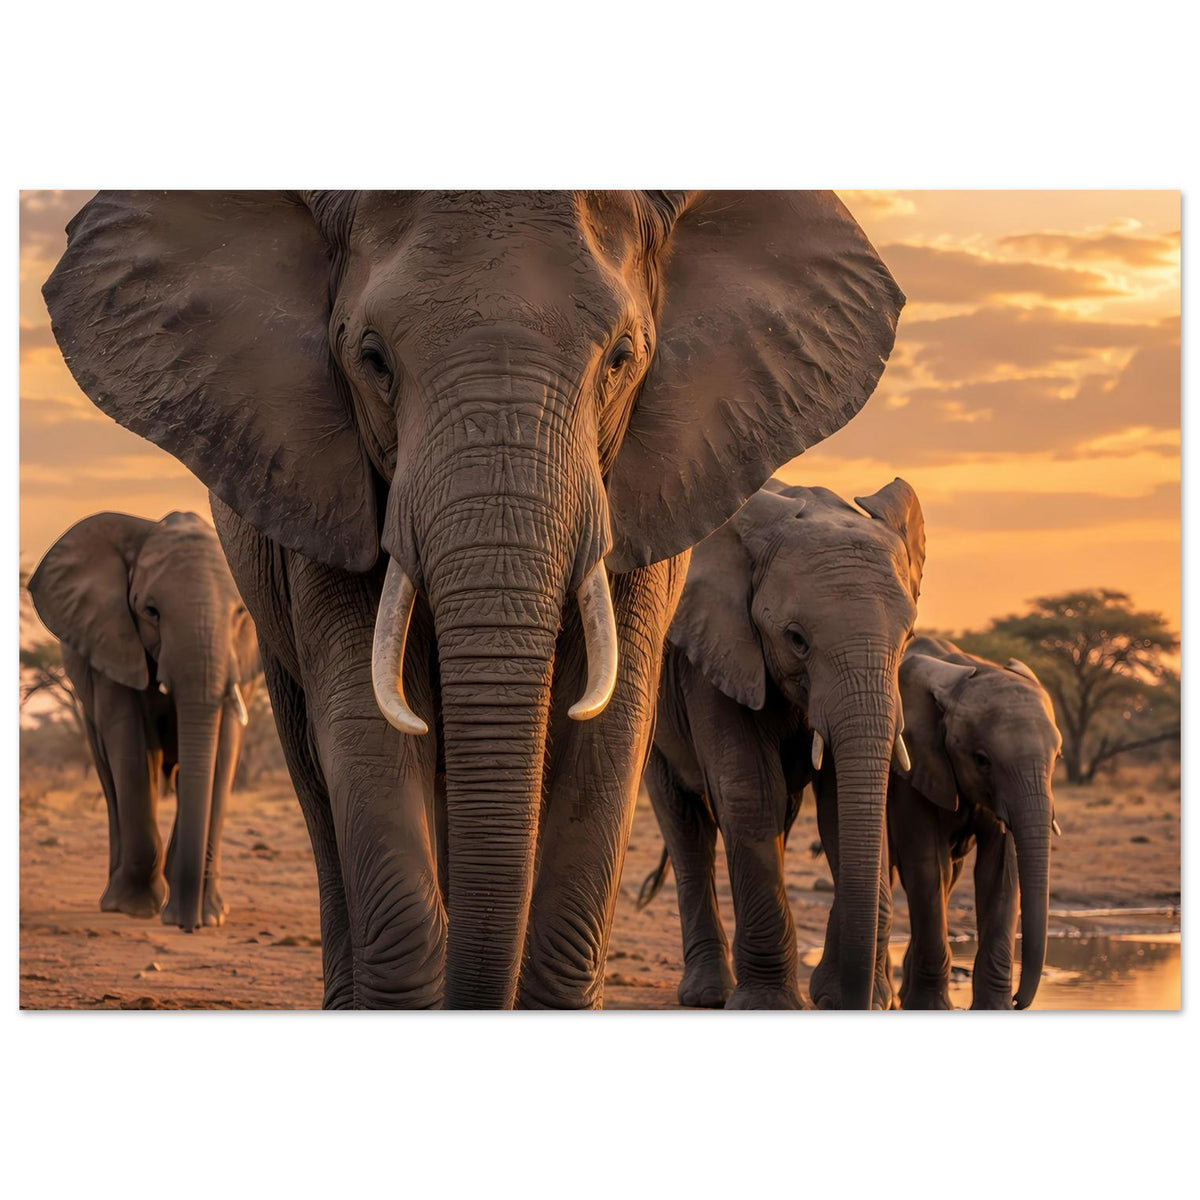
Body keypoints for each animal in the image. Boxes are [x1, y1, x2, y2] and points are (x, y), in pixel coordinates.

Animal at [27, 511, 261, 930]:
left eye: (239, 613)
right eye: (150, 611)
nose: (188, 925)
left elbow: (224, 744)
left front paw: (212, 916)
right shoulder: (110, 640)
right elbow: (130, 741)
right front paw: (136, 908)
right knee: (110, 773)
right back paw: (113, 900)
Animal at [638, 477, 925, 1008]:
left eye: (909, 636)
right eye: (796, 639)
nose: (863, 1002)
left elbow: (841, 807)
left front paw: (847, 997)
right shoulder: (715, 653)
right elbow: (749, 792)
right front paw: (766, 1005)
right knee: (686, 824)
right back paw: (706, 994)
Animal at [886, 636, 1062, 1009]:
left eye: (1057, 758)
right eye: (982, 760)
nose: (1019, 1000)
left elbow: (1000, 871)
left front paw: (995, 1008)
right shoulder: (913, 768)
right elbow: (927, 865)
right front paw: (931, 1009)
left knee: (948, 878)